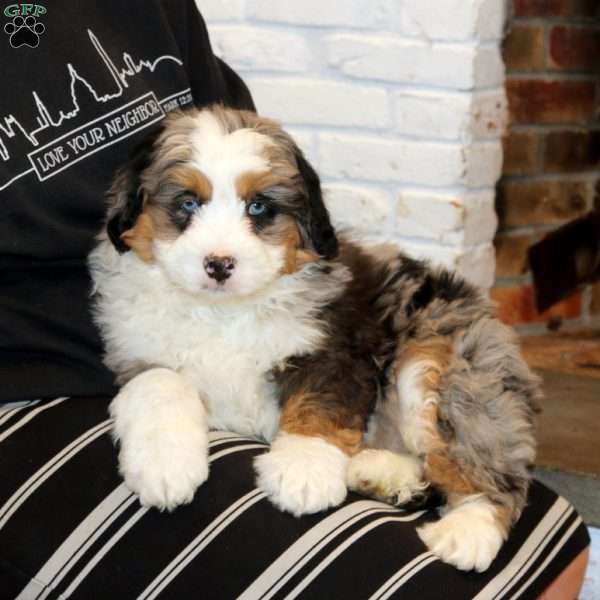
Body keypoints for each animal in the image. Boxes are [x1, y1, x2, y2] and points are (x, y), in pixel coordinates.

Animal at [90, 105, 544, 576]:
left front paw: (303, 469)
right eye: (187, 203)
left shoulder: (333, 348)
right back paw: (382, 473)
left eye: (259, 206)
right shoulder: (137, 352)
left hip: (449, 368)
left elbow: (318, 405)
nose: (219, 264)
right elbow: (160, 385)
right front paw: (165, 464)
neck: (223, 311)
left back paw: (468, 530)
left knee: (489, 466)